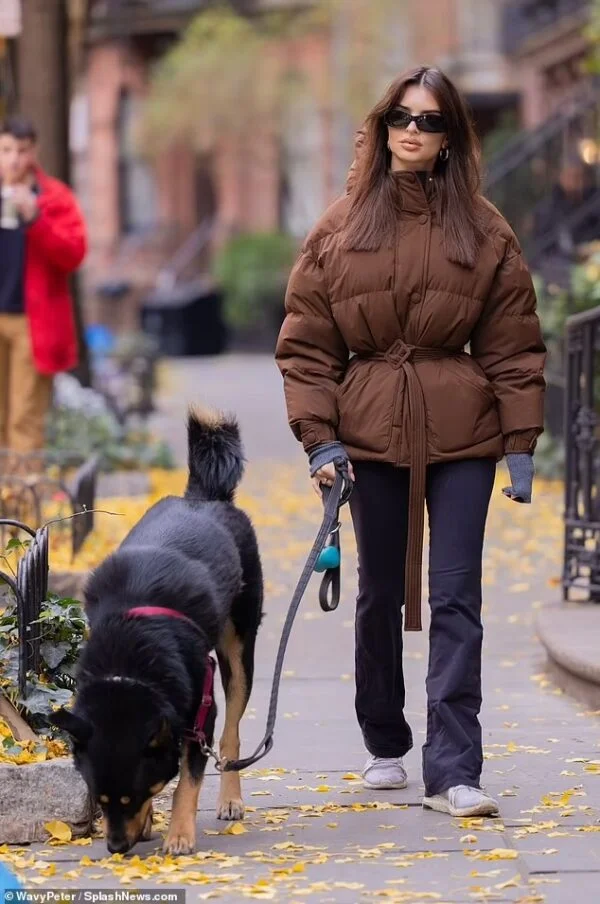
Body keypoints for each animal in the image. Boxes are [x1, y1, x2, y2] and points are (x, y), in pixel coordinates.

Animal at [52, 410, 264, 856]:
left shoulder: (200, 713)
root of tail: (203, 495)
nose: (115, 847)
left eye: (131, 796)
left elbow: (189, 779)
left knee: (231, 737)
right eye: (98, 800)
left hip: (239, 652)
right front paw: (150, 823)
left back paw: (230, 798)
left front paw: (179, 834)